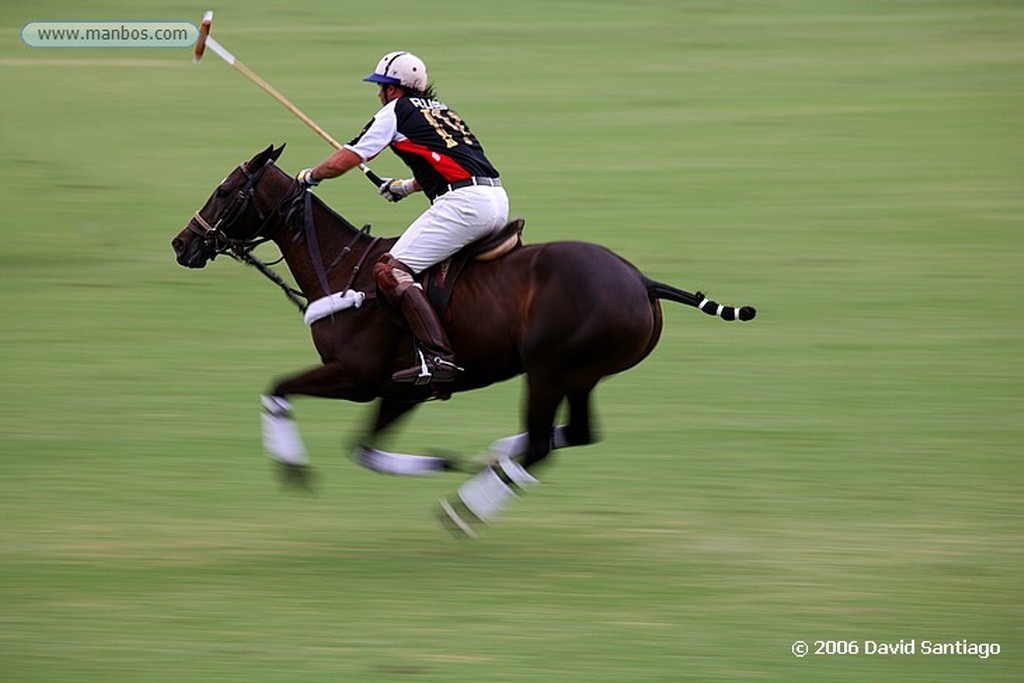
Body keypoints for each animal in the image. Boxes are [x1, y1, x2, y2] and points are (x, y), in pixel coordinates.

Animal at [172, 147, 753, 536]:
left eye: (225, 191)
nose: (182, 244)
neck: (340, 265)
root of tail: (642, 281)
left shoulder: (356, 377)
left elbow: (277, 389)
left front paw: (293, 469)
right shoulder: (400, 390)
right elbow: (365, 450)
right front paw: (441, 461)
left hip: (548, 369)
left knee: (542, 444)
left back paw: (466, 508)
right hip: (582, 373)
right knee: (576, 433)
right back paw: (494, 455)